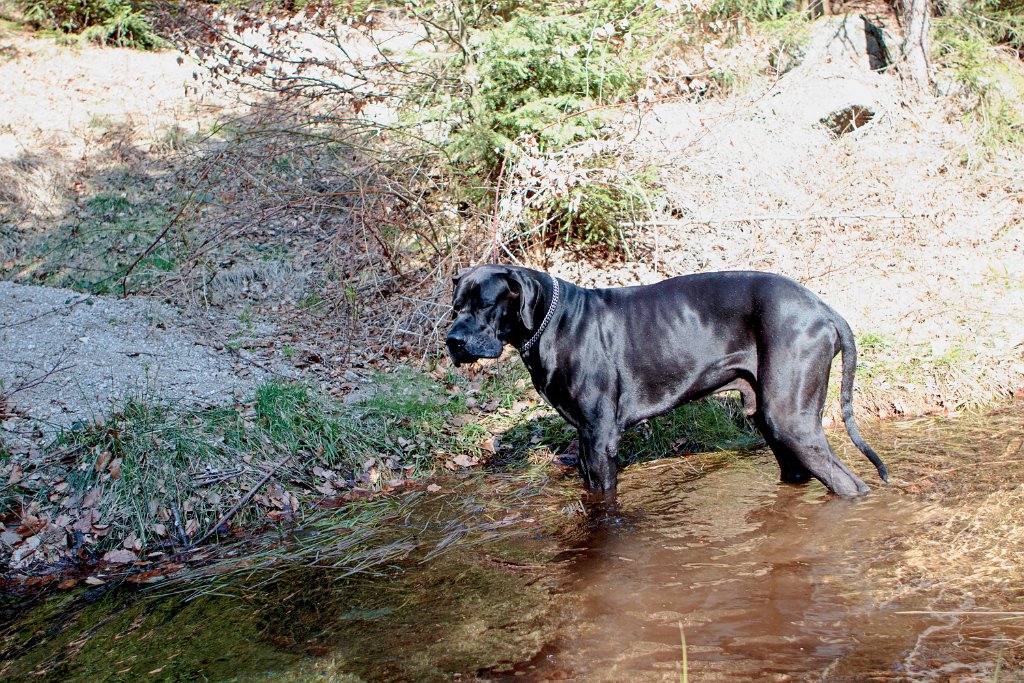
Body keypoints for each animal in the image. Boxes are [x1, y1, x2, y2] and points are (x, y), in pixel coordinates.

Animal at [448, 266, 888, 497]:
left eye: (484, 305)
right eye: (455, 307)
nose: (453, 340)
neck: (552, 322)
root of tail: (823, 308)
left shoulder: (600, 438)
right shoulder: (585, 439)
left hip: (791, 420)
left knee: (848, 483)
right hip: (771, 421)